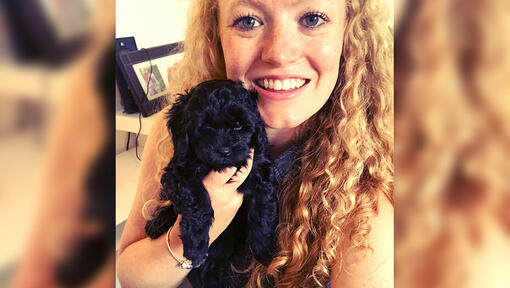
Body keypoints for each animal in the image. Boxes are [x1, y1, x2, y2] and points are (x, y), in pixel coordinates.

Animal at [145, 79, 276, 268]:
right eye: (205, 126)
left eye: (238, 125)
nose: (224, 151)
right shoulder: (179, 174)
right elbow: (199, 206)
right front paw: (196, 248)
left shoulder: (261, 173)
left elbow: (262, 212)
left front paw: (263, 250)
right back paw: (155, 224)